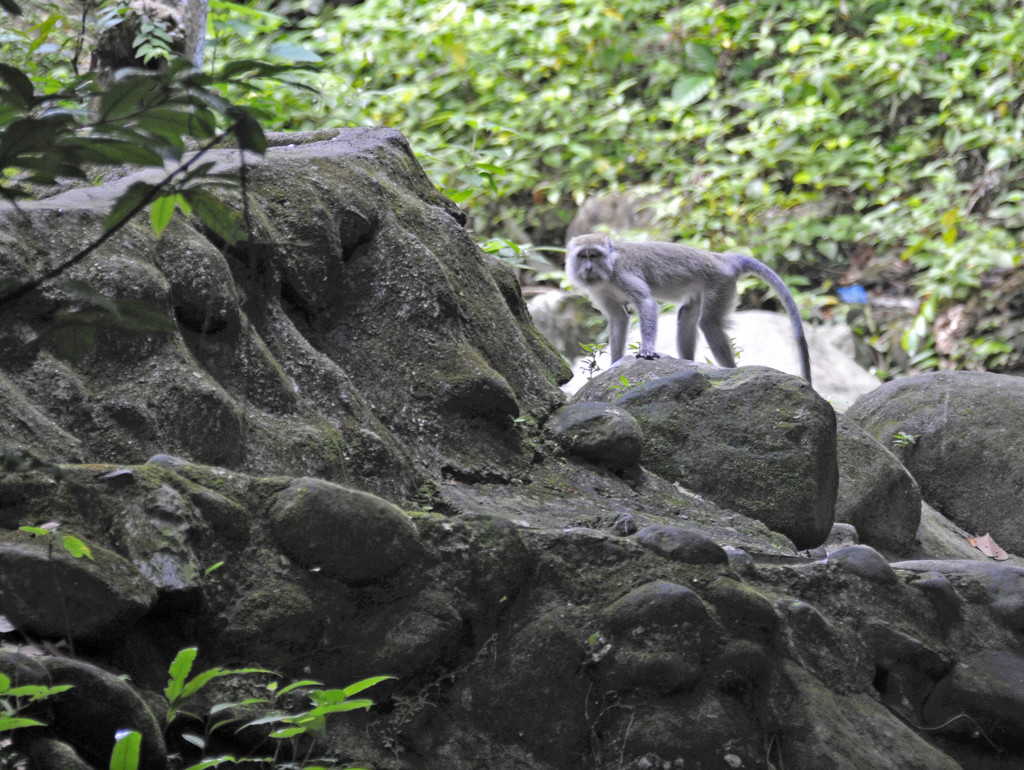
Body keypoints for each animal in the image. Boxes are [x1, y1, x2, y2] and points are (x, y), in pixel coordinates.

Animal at [565, 230, 811, 382]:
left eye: (594, 255)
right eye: (583, 256)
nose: (588, 268)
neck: (608, 269)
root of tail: (723, 260)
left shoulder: (622, 273)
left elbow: (646, 303)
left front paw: (647, 349)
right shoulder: (599, 290)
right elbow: (618, 319)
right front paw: (614, 363)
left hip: (720, 285)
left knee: (709, 324)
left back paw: (731, 372)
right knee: (686, 316)